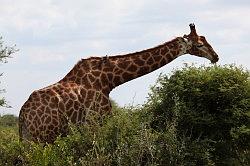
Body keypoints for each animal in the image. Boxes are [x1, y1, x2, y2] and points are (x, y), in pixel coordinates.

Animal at [19, 23, 219, 143]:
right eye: (199, 44)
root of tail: (22, 115)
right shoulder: (97, 121)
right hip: (44, 137)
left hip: (30, 139)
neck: (109, 79)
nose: (215, 57)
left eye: (205, 39)